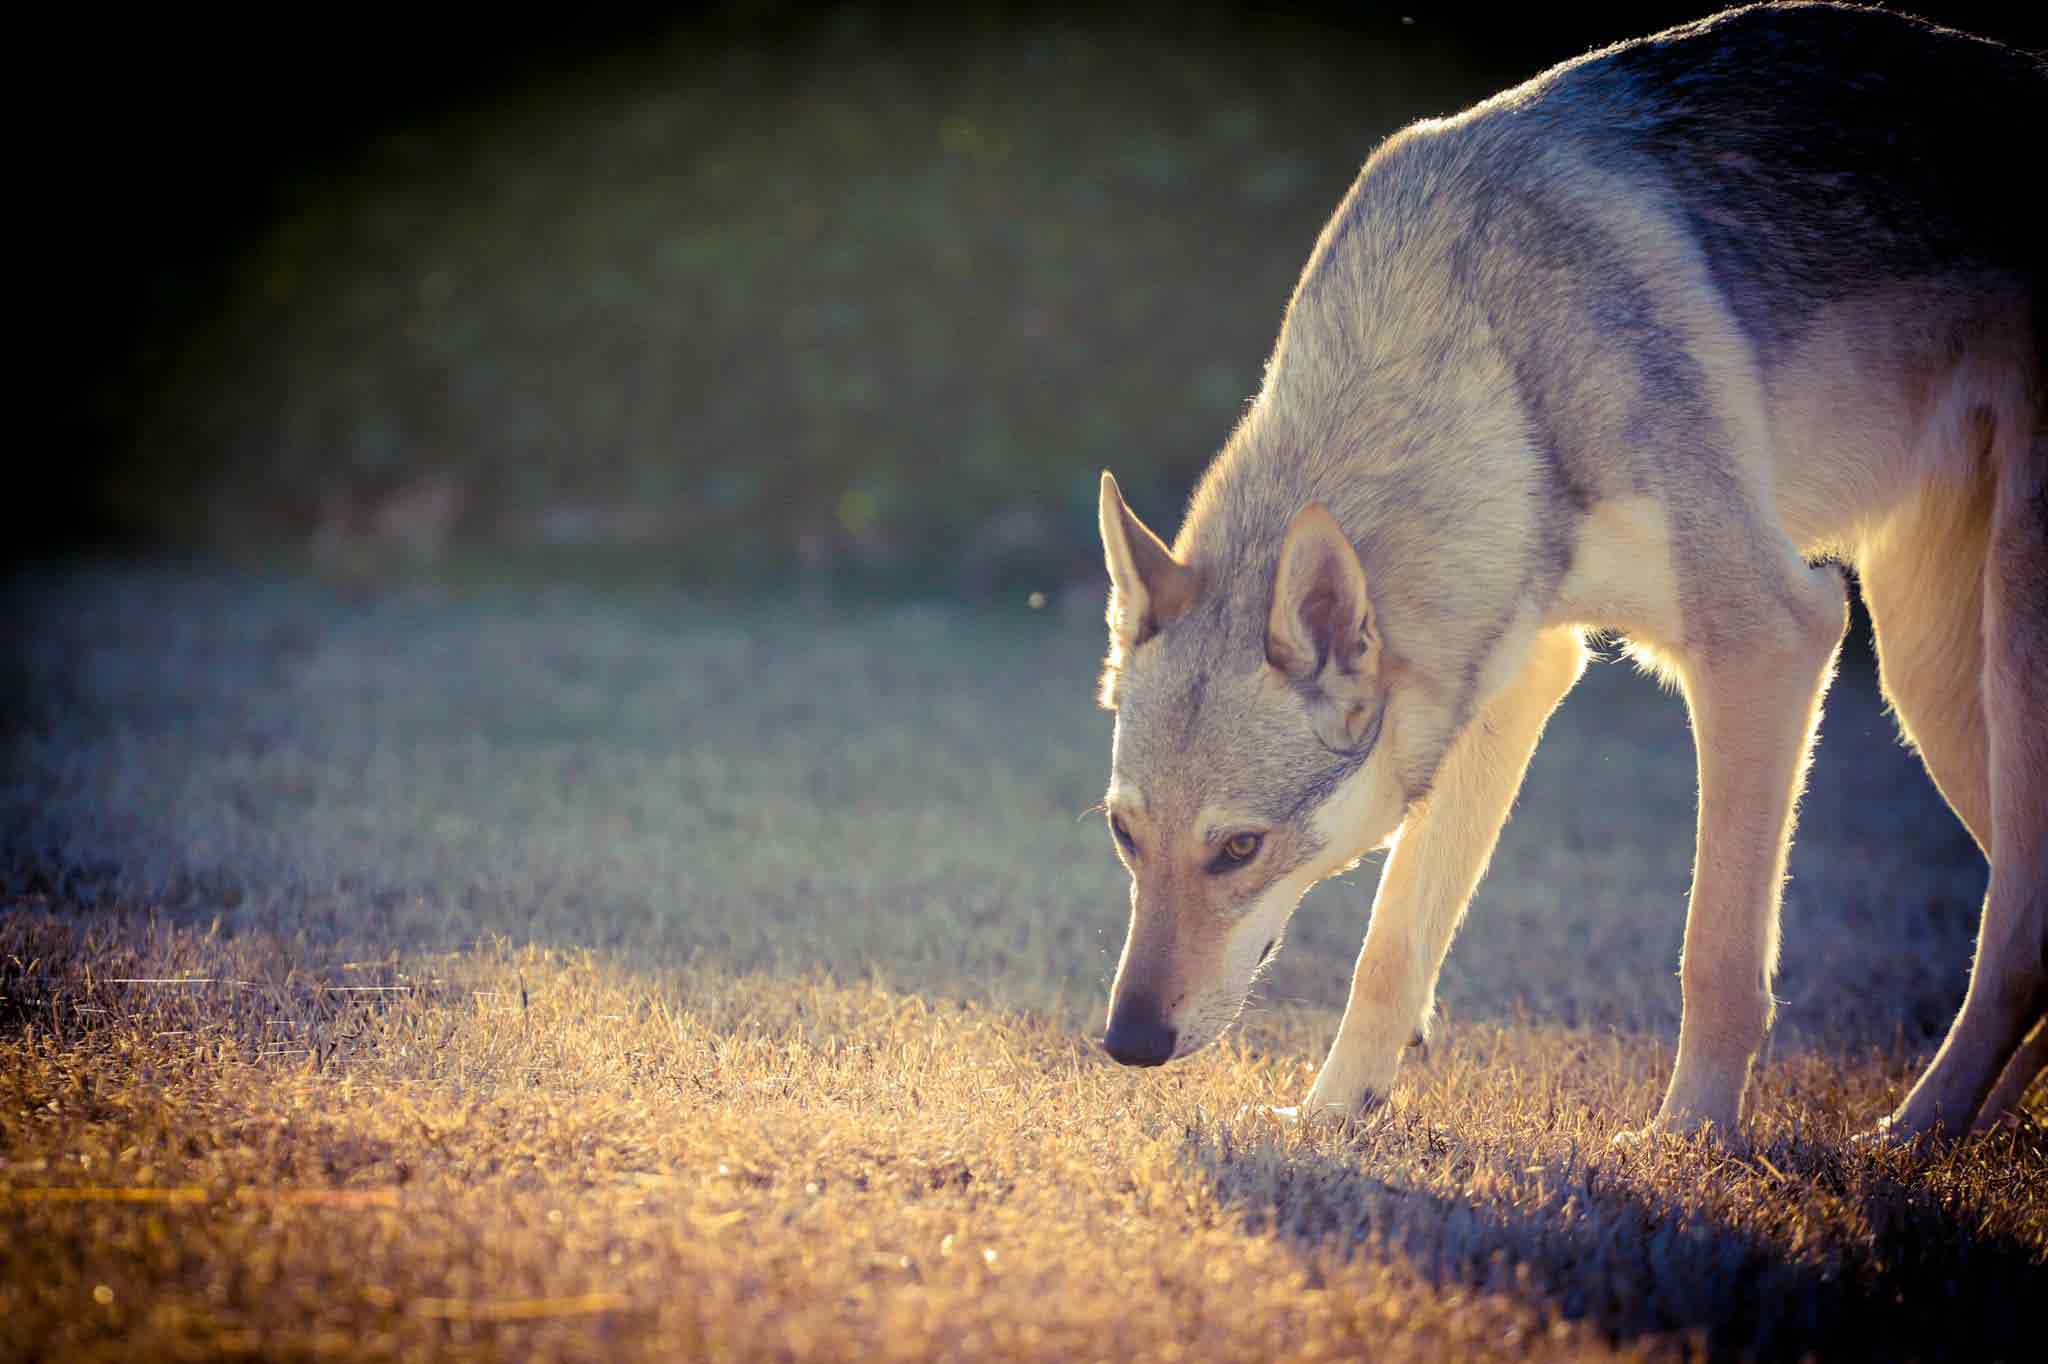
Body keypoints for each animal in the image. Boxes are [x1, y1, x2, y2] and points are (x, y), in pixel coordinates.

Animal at [1093, 2, 2044, 1143]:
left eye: (1237, 848)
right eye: (1123, 832)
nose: (1126, 1043)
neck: (1491, 352)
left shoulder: (1770, 637)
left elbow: (1714, 952)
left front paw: (1687, 1140)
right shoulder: (1511, 676)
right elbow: (1389, 951)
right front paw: (1329, 1118)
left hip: (1994, 658)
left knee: (2016, 928)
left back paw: (1912, 1133)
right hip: (1927, 678)